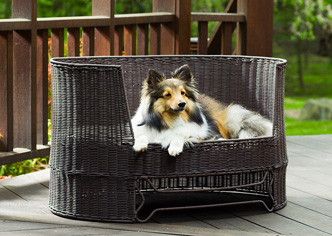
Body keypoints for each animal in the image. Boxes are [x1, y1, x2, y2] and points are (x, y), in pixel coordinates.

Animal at [131, 64, 274, 157]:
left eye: (183, 93)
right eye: (167, 95)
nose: (182, 104)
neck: (170, 120)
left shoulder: (199, 134)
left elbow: (181, 134)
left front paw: (174, 148)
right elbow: (142, 135)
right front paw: (139, 145)